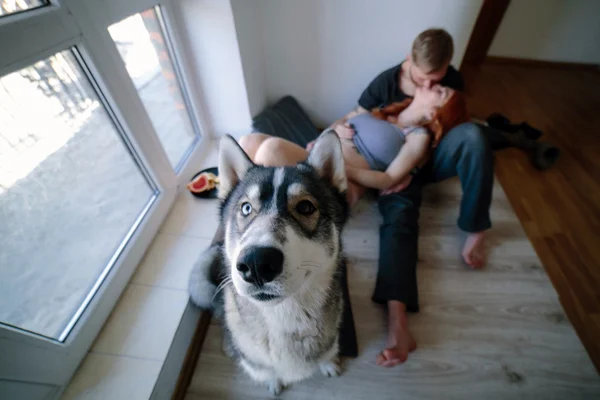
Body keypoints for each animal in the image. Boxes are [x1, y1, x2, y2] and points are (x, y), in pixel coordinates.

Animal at [190, 133, 350, 396]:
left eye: (305, 207)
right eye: (246, 208)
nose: (256, 263)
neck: (283, 315)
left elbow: (327, 352)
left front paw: (328, 364)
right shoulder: (255, 361)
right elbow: (268, 372)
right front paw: (274, 382)